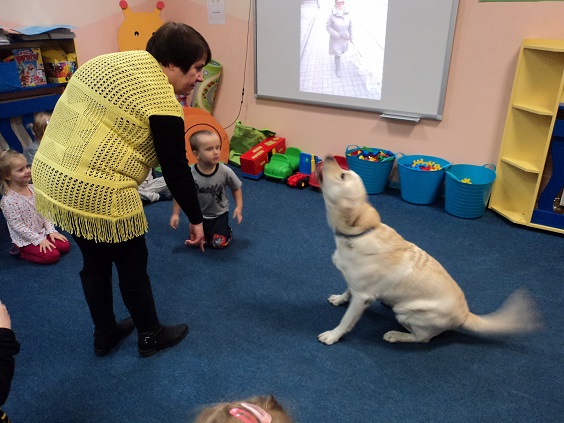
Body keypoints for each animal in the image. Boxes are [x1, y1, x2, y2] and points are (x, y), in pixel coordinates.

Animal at [316, 155, 541, 344]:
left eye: (343, 176)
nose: (328, 156)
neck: (359, 233)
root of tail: (465, 315)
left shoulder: (362, 296)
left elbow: (346, 321)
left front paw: (333, 335)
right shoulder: (355, 285)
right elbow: (347, 289)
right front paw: (339, 298)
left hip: (406, 311)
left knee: (423, 338)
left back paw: (396, 335)